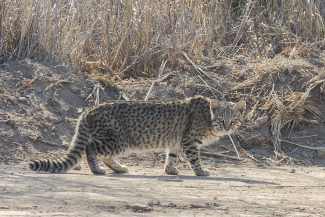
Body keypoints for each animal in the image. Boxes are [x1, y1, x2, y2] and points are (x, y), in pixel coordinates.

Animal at [29, 96, 244, 176]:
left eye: (233, 120)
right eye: (221, 120)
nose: (227, 128)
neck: (209, 120)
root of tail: (90, 109)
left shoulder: (177, 142)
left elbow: (171, 156)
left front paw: (170, 170)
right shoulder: (189, 141)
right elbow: (195, 158)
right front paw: (200, 171)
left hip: (115, 141)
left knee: (103, 154)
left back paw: (119, 168)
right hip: (118, 140)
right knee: (91, 147)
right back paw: (97, 170)